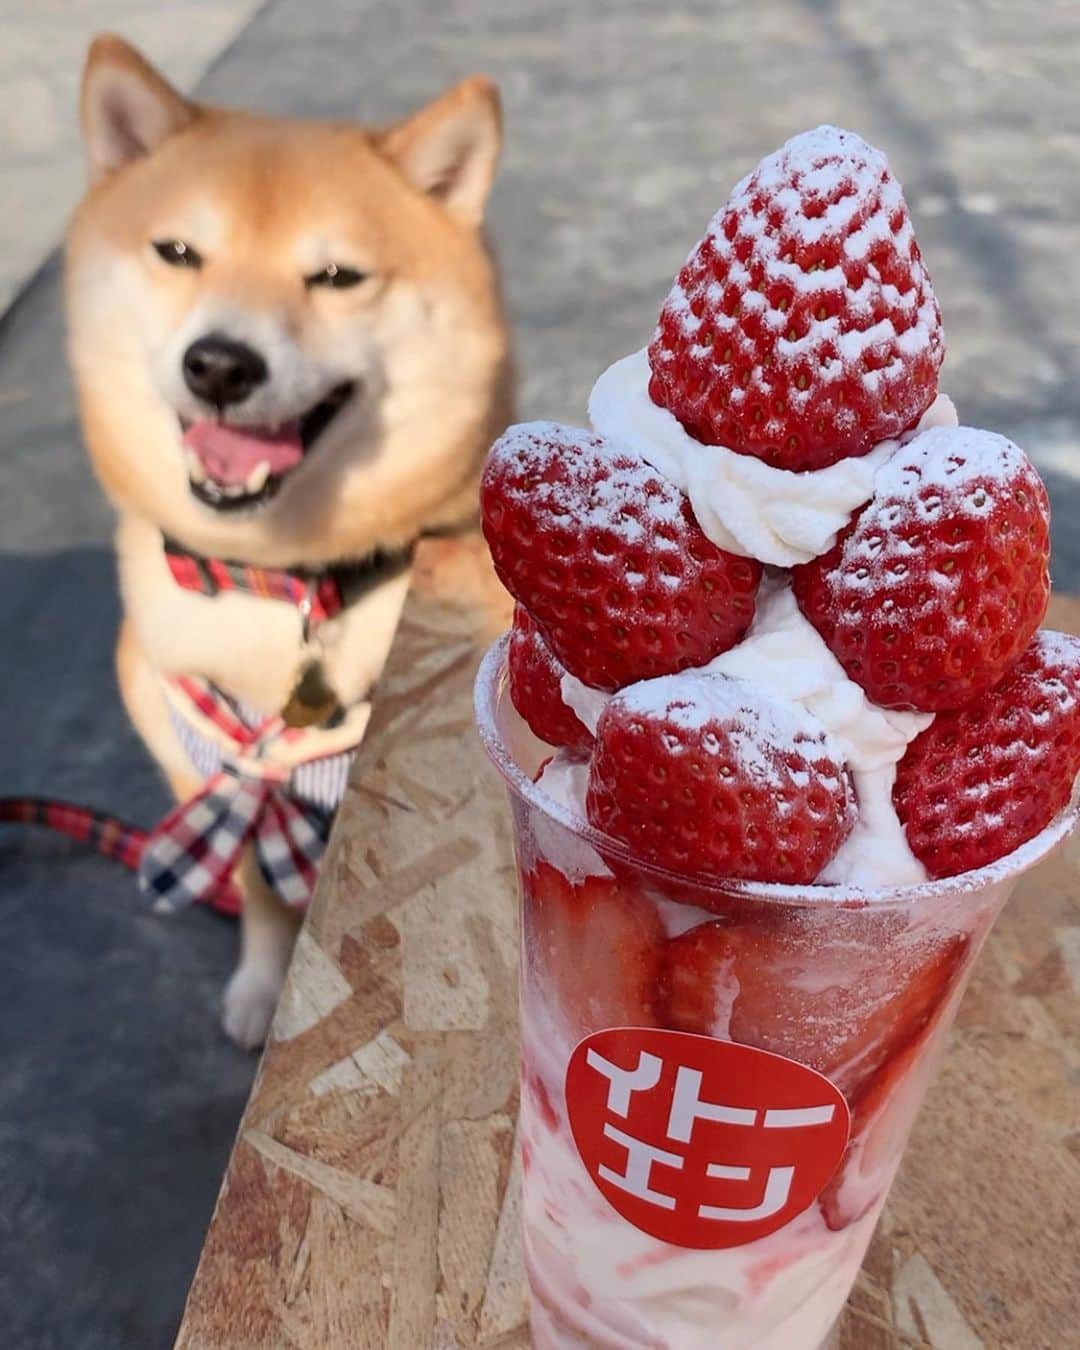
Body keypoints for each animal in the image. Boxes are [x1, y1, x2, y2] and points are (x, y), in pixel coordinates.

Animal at [65, 29, 513, 1042]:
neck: (282, 584)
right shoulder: (225, 778)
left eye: (337, 276)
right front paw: (263, 989)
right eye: (178, 252)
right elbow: (262, 892)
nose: (222, 364)